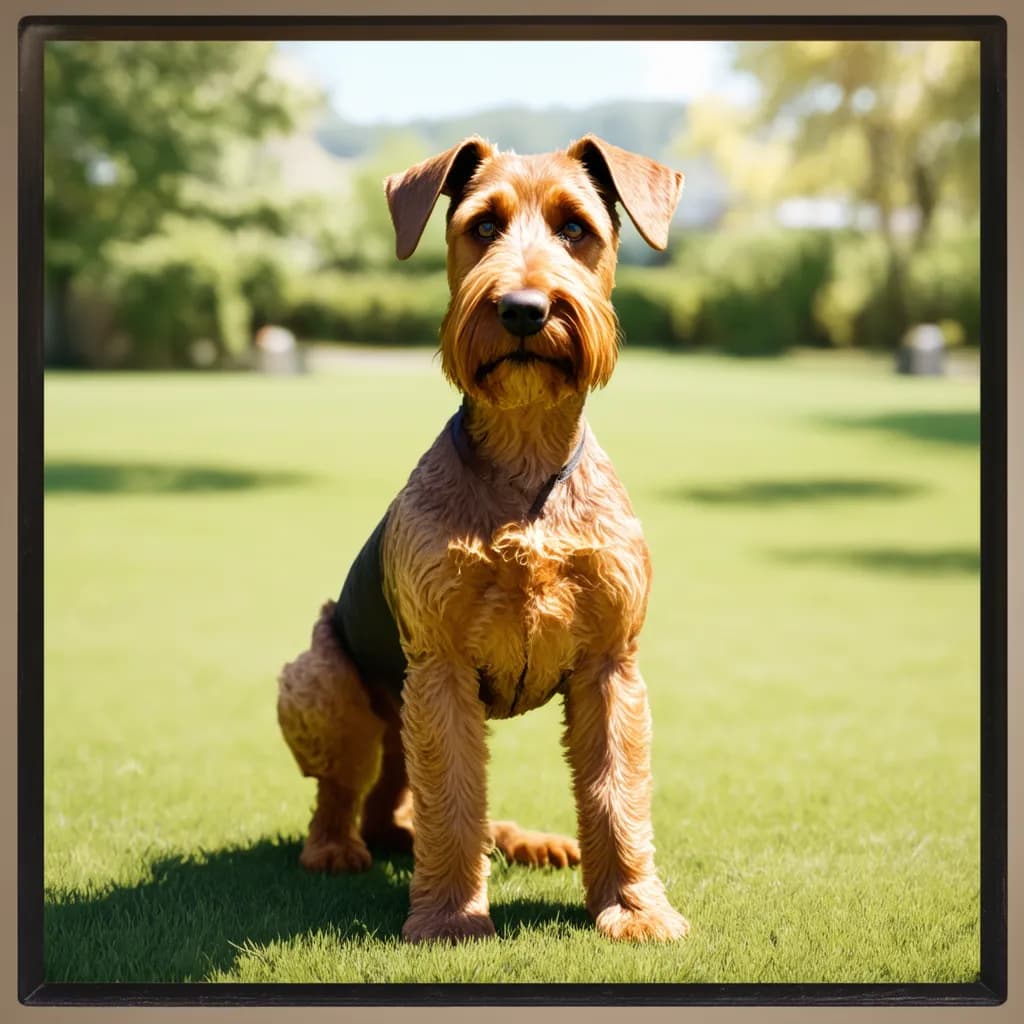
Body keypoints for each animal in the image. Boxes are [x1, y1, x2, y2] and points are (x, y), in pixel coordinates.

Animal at [278, 134, 688, 942]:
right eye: (483, 225)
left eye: (575, 228)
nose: (524, 309)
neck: (525, 468)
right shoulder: (439, 666)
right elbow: (454, 801)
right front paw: (448, 918)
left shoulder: (611, 665)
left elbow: (618, 797)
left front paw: (634, 911)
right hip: (319, 684)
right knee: (354, 795)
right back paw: (336, 848)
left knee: (404, 811)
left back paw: (532, 841)